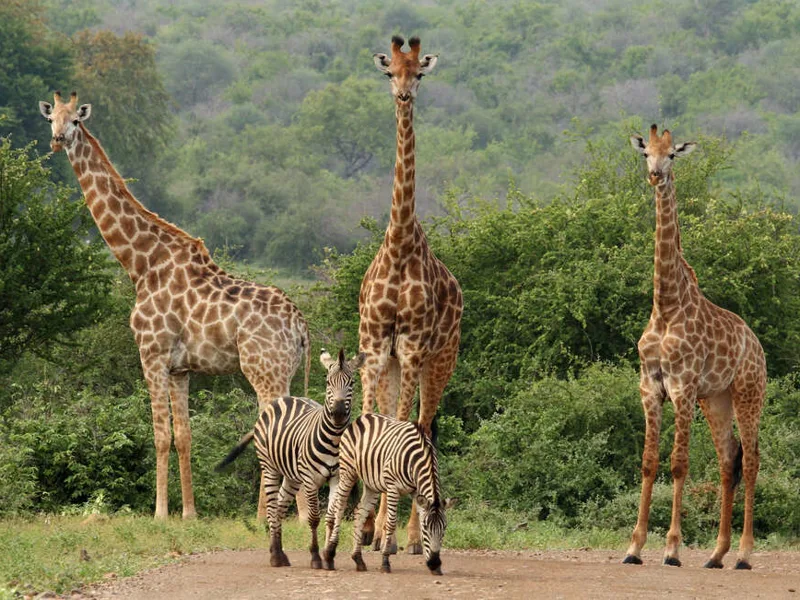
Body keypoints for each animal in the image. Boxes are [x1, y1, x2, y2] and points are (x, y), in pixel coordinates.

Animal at [39, 91, 311, 519]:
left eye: (76, 121)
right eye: (52, 118)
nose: (57, 139)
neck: (141, 264)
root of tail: (301, 326)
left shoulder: (150, 353)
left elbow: (159, 434)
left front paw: (160, 513)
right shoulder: (181, 367)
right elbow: (184, 434)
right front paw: (189, 513)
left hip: (265, 370)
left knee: (282, 431)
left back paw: (289, 517)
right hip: (281, 370)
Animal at [216, 348, 365, 568]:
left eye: (352, 382)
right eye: (328, 382)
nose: (337, 413)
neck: (335, 439)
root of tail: (282, 399)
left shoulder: (337, 477)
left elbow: (330, 517)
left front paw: (329, 557)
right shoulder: (310, 480)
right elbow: (313, 518)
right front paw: (316, 557)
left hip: (292, 476)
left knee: (279, 507)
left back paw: (277, 551)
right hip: (270, 467)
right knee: (271, 508)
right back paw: (276, 557)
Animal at [322, 413, 455, 575]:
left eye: (444, 528)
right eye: (426, 528)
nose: (435, 563)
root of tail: (362, 418)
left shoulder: (416, 491)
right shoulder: (393, 488)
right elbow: (391, 523)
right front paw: (385, 561)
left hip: (371, 484)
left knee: (360, 512)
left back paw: (358, 559)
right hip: (348, 471)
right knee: (340, 506)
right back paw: (330, 552)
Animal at [623, 125, 766, 569]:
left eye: (673, 155)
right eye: (645, 153)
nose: (655, 175)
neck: (666, 305)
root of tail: (758, 345)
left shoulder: (682, 386)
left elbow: (678, 464)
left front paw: (671, 548)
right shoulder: (650, 386)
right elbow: (649, 463)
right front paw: (634, 548)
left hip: (748, 393)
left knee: (750, 461)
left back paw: (744, 554)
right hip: (716, 400)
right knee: (727, 461)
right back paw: (717, 554)